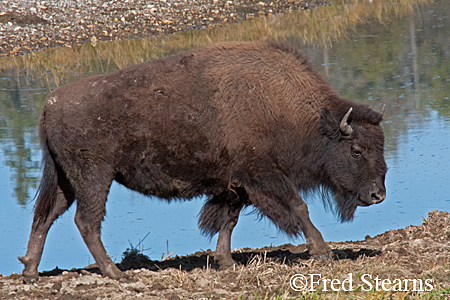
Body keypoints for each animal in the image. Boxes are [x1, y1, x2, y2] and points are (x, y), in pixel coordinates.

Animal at [19, 41, 386, 280]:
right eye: (356, 150)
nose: (378, 195)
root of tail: (50, 105)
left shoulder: (236, 184)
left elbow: (229, 221)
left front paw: (226, 262)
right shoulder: (263, 176)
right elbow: (298, 207)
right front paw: (322, 251)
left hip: (67, 181)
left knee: (45, 218)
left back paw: (31, 272)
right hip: (94, 178)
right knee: (86, 221)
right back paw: (116, 273)